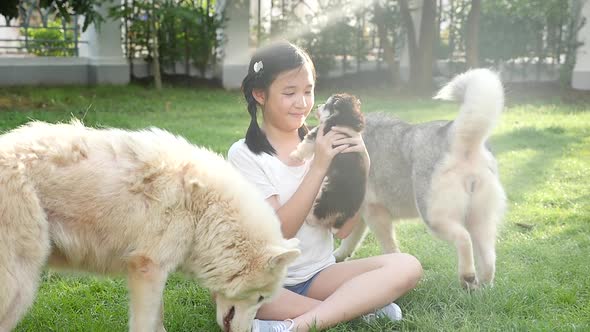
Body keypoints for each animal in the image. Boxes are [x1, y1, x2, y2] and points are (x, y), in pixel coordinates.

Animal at [0, 120, 300, 330]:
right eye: (260, 299)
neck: (206, 212)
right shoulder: (148, 270)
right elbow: (146, 324)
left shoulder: (155, 274)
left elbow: (158, 320)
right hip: (20, 288)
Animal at [290, 93, 368, 232]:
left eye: (326, 104)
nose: (317, 106)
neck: (345, 117)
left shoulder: (318, 133)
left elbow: (305, 145)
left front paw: (295, 156)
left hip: (325, 198)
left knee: (319, 213)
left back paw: (309, 219)